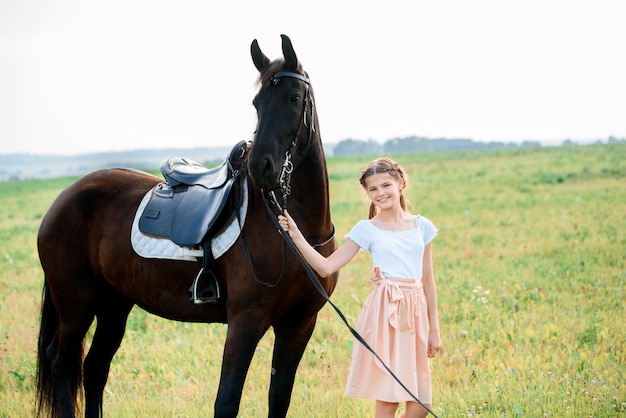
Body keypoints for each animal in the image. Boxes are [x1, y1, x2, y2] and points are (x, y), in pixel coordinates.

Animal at [34, 36, 336, 418]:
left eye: (293, 98)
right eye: (257, 102)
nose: (261, 168)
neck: (294, 233)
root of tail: (62, 200)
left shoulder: (299, 324)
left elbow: (279, 398)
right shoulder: (246, 321)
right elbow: (227, 401)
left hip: (114, 305)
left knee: (95, 367)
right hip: (76, 306)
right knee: (62, 363)